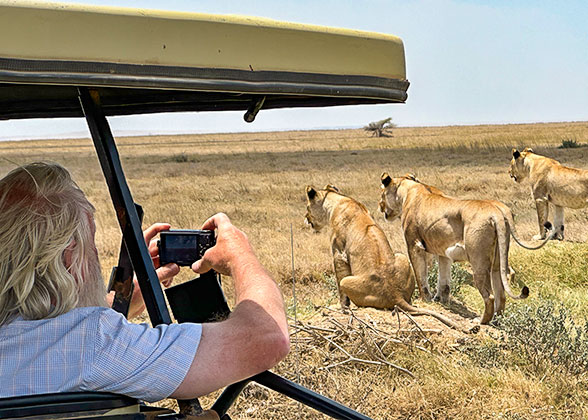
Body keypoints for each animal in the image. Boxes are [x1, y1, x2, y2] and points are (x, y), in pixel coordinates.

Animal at [306, 184, 470, 332]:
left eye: (307, 208)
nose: (306, 219)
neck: (339, 200)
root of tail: (395, 294)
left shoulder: (338, 253)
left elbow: (340, 285)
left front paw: (343, 308)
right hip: (401, 256)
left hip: (348, 281)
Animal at [378, 173, 552, 324]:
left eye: (382, 194)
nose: (380, 206)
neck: (409, 190)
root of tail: (496, 213)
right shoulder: (443, 253)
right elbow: (444, 281)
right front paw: (440, 300)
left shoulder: (414, 245)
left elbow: (421, 277)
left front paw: (425, 299)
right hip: (497, 260)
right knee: (501, 294)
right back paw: (495, 321)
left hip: (478, 261)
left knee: (489, 296)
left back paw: (480, 321)